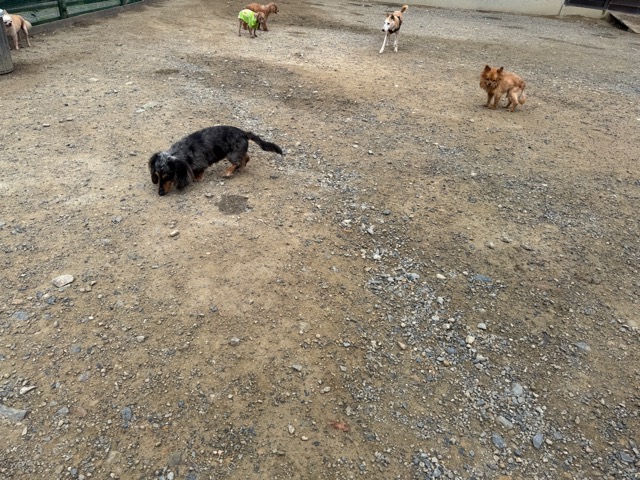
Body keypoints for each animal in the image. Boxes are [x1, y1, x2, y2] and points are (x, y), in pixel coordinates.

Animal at [149, 125, 283, 196]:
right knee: (246, 158)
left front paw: (196, 178)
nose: (160, 193)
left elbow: (198, 173)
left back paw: (228, 172)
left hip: (231, 154)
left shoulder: (200, 165)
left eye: (167, 176)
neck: (184, 151)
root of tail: (243, 133)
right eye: (157, 176)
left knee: (237, 162)